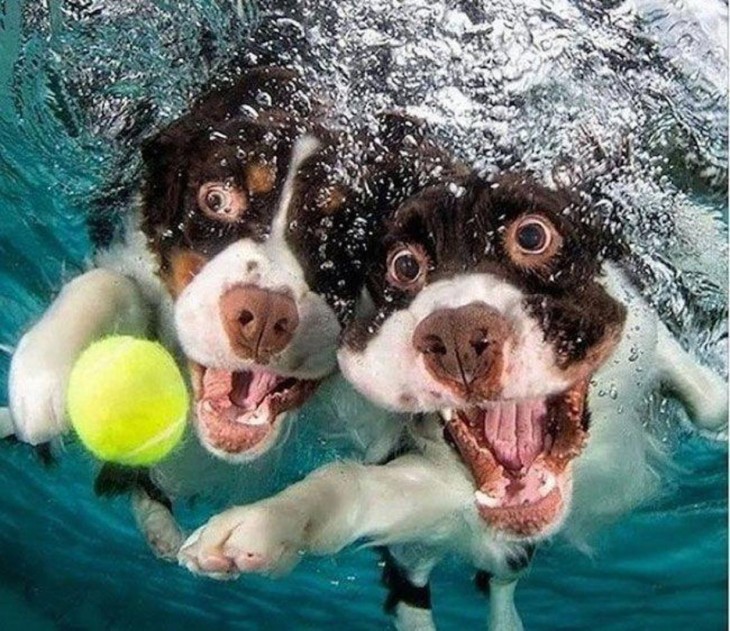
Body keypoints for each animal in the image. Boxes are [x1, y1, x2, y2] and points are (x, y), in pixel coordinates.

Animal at [7, 69, 450, 560]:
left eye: (344, 235)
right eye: (216, 200)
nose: (264, 316)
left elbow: (365, 483)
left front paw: (266, 526)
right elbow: (112, 283)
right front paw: (44, 370)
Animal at [175, 170, 724, 628]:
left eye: (532, 235)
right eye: (403, 266)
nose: (457, 336)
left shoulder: (644, 335)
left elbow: (710, 399)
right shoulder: (431, 484)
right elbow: (351, 485)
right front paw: (268, 524)